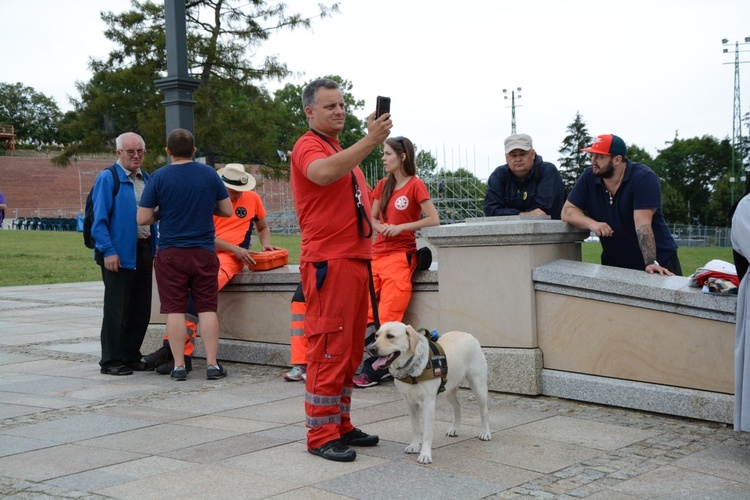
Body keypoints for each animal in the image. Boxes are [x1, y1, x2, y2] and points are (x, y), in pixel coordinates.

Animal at [370, 322, 494, 462]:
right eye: (376, 335)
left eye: (390, 336)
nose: (371, 349)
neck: (411, 369)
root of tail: (468, 334)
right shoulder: (410, 403)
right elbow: (416, 427)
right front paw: (414, 445)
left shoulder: (428, 404)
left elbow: (427, 433)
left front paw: (425, 454)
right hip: (449, 390)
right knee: (457, 407)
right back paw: (454, 428)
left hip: (478, 385)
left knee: (484, 410)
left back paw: (485, 432)